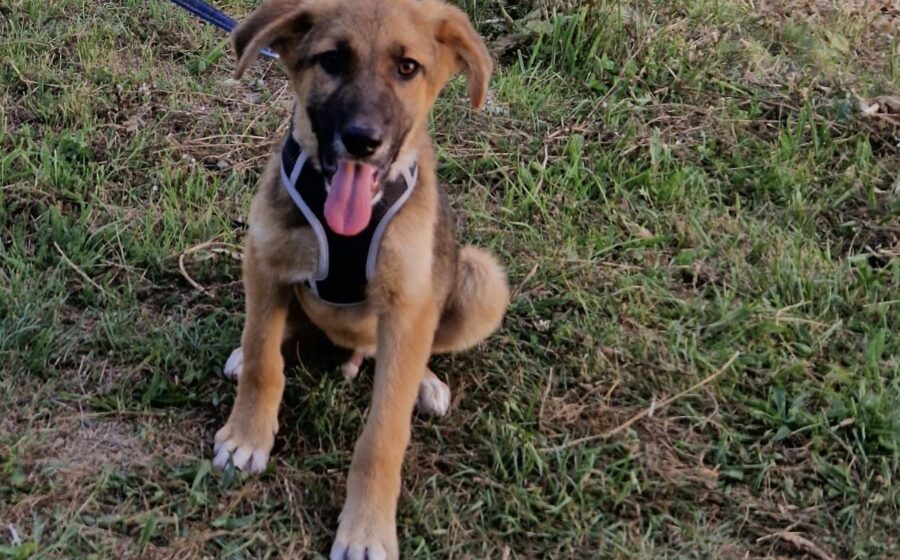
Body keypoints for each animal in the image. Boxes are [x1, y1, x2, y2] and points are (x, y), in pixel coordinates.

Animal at [210, 0, 509, 557]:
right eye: (331, 60)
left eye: (408, 68)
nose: (362, 140)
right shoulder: (264, 260)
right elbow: (264, 362)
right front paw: (247, 437)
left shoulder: (408, 306)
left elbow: (383, 435)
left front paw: (366, 528)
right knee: (277, 336)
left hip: (482, 279)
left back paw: (426, 383)